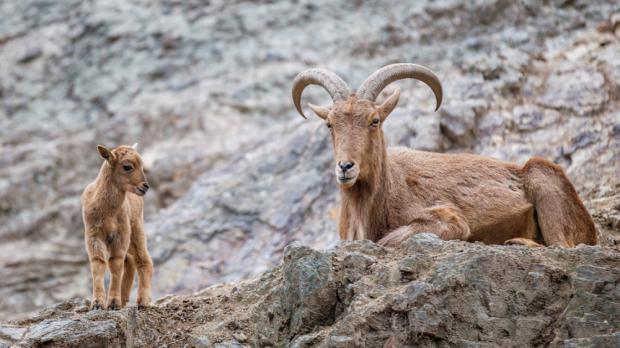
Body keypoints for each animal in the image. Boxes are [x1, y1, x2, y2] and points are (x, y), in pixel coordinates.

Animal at [81, 144, 154, 310]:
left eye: (142, 165)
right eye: (127, 166)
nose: (145, 186)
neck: (107, 213)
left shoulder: (120, 235)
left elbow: (115, 264)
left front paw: (113, 302)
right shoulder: (94, 236)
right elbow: (98, 264)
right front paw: (97, 303)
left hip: (136, 230)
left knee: (143, 261)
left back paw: (142, 301)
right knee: (131, 262)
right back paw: (124, 298)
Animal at [294, 62, 600, 247]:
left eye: (374, 120)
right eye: (329, 123)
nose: (346, 167)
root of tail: (590, 227)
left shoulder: (447, 219)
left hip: (544, 184)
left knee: (562, 246)